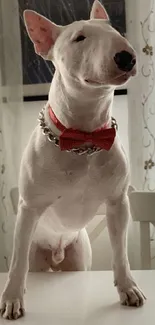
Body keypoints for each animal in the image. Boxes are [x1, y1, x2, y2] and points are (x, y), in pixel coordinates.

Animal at [0, 0, 145, 318]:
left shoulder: (117, 203)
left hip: (79, 256)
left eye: (117, 32)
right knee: (26, 260)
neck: (83, 138)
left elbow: (120, 253)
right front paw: (12, 299)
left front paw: (128, 289)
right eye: (80, 38)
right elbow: (17, 263)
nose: (127, 57)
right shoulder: (29, 207)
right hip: (35, 251)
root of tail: (56, 252)